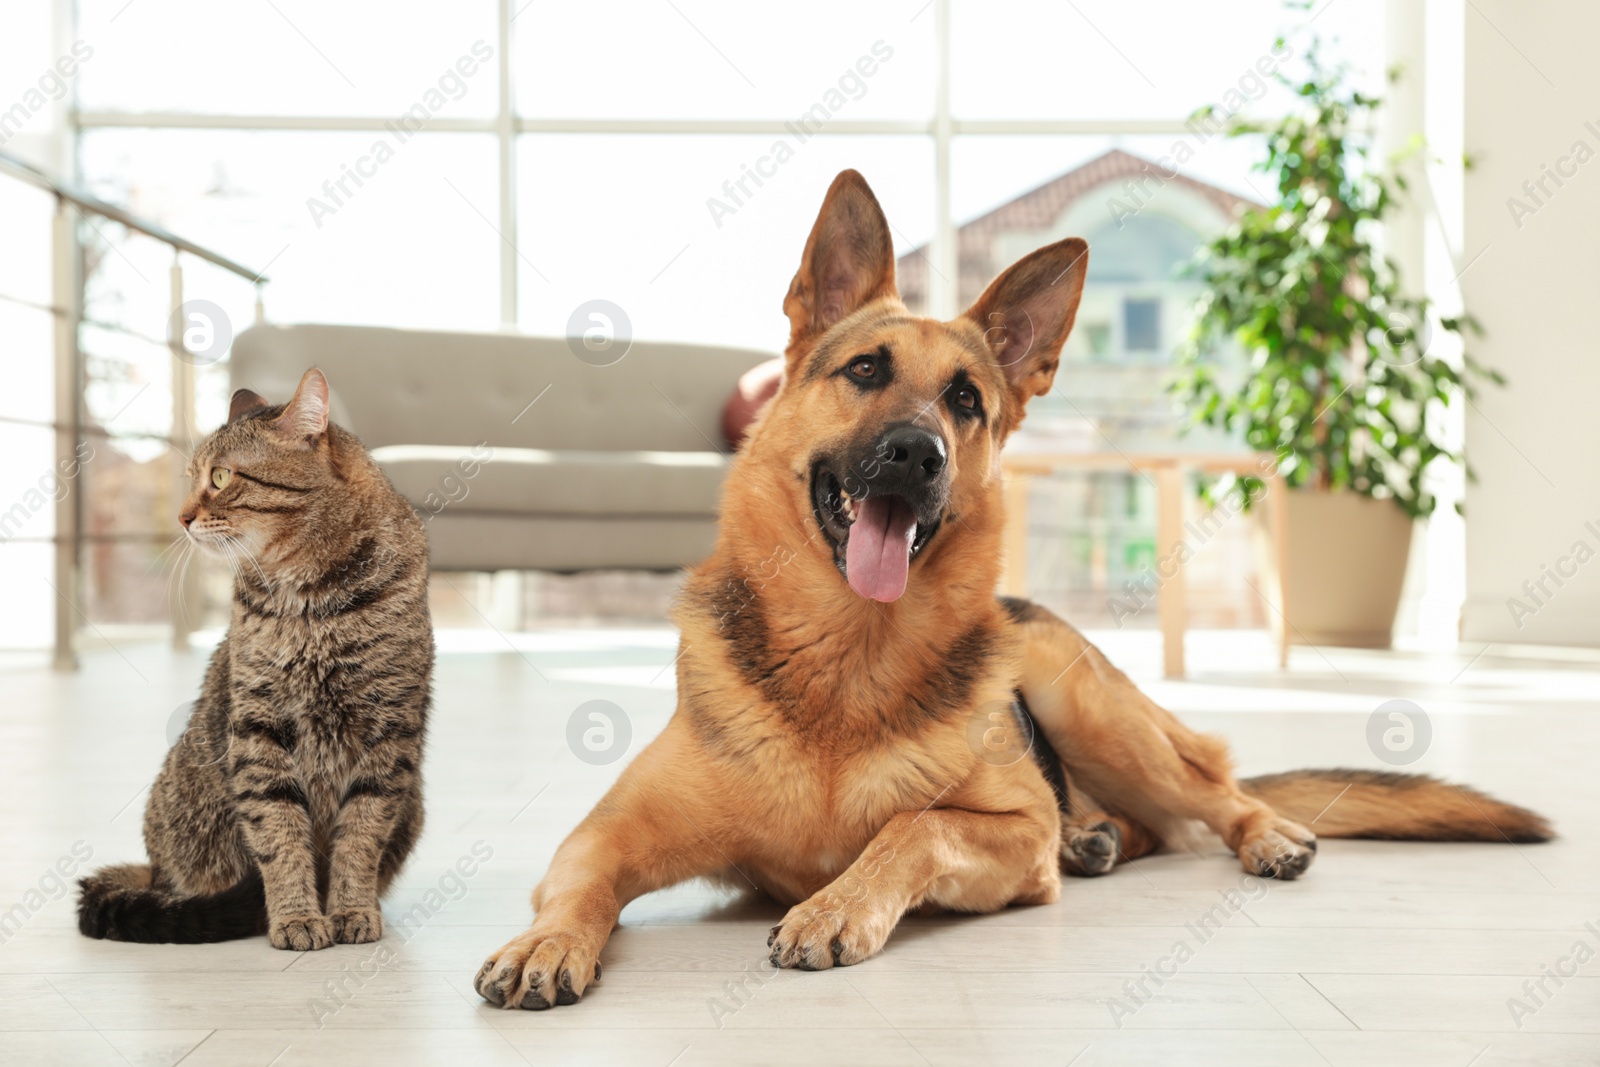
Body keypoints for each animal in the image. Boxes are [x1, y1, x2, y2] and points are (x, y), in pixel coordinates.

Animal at [78, 369, 435, 953]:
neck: (312, 597)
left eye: (221, 477)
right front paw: (296, 916)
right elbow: (278, 832)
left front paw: (352, 908)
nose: (181, 517)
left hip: (415, 800)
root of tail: (154, 870)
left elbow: (361, 835)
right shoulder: (258, 729)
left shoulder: (390, 734)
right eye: (193, 478)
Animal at [473, 171, 1548, 1017]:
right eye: (866, 370)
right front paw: (545, 942)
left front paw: (837, 904)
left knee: (1218, 791)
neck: (843, 663)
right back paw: (1103, 838)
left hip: (1092, 708)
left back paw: (1259, 834)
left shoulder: (1013, 831)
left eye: (965, 401)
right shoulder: (603, 834)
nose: (919, 453)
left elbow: (914, 824)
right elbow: (579, 887)